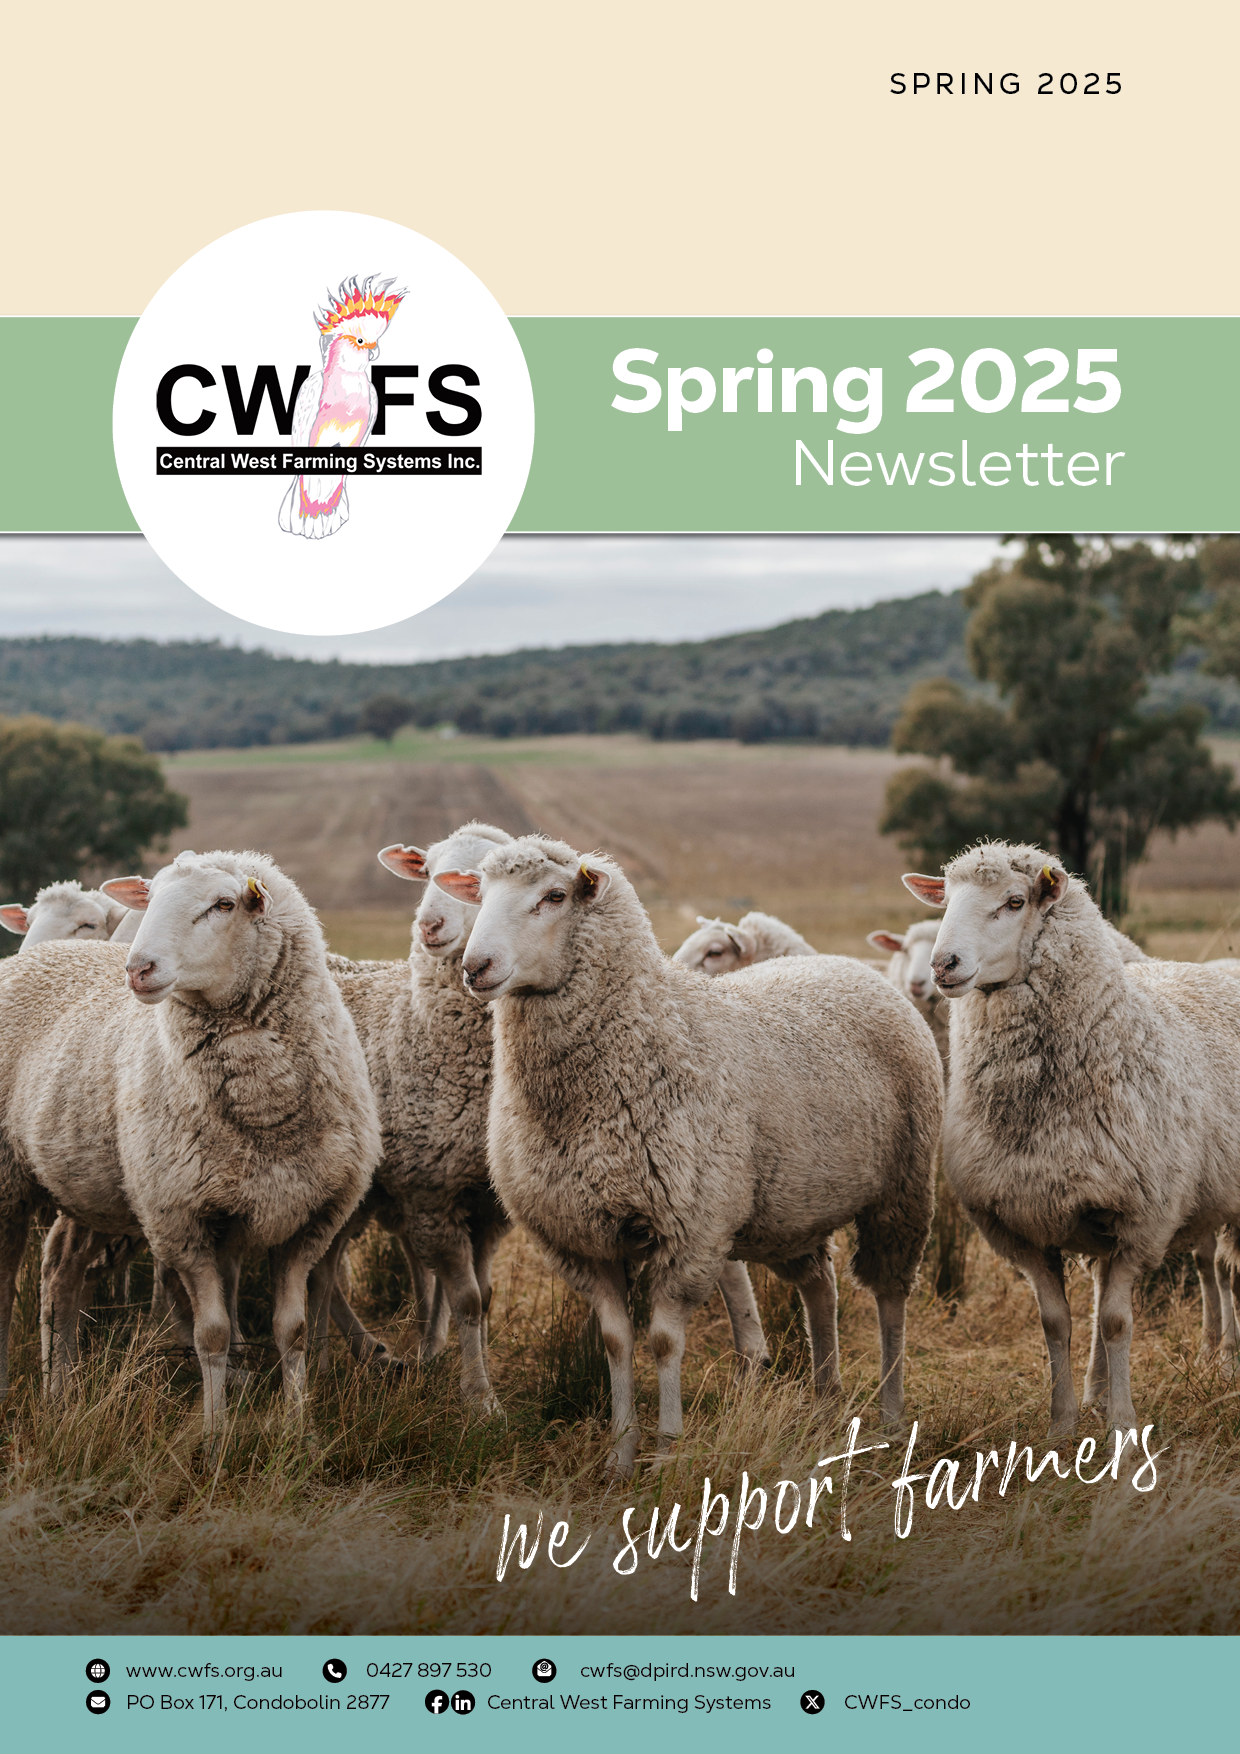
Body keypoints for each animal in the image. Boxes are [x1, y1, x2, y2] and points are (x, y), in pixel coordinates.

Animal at [0, 850, 380, 1448]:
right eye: (149, 898)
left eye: (223, 904)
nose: (137, 969)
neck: (264, 1109)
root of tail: (32, 957)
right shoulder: (182, 1221)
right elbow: (213, 1335)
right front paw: (216, 1435)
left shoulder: (307, 1219)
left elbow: (292, 1332)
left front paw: (299, 1432)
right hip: (12, 1182)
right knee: (6, 1285)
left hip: (93, 1188)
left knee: (60, 1270)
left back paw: (61, 1391)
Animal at [904, 840, 1240, 1439]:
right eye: (946, 900)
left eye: (1014, 902)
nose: (943, 966)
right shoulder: (1019, 1223)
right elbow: (1056, 1322)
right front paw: (1063, 1422)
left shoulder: (1141, 1216)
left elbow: (1116, 1321)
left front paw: (1124, 1426)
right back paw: (1095, 1392)